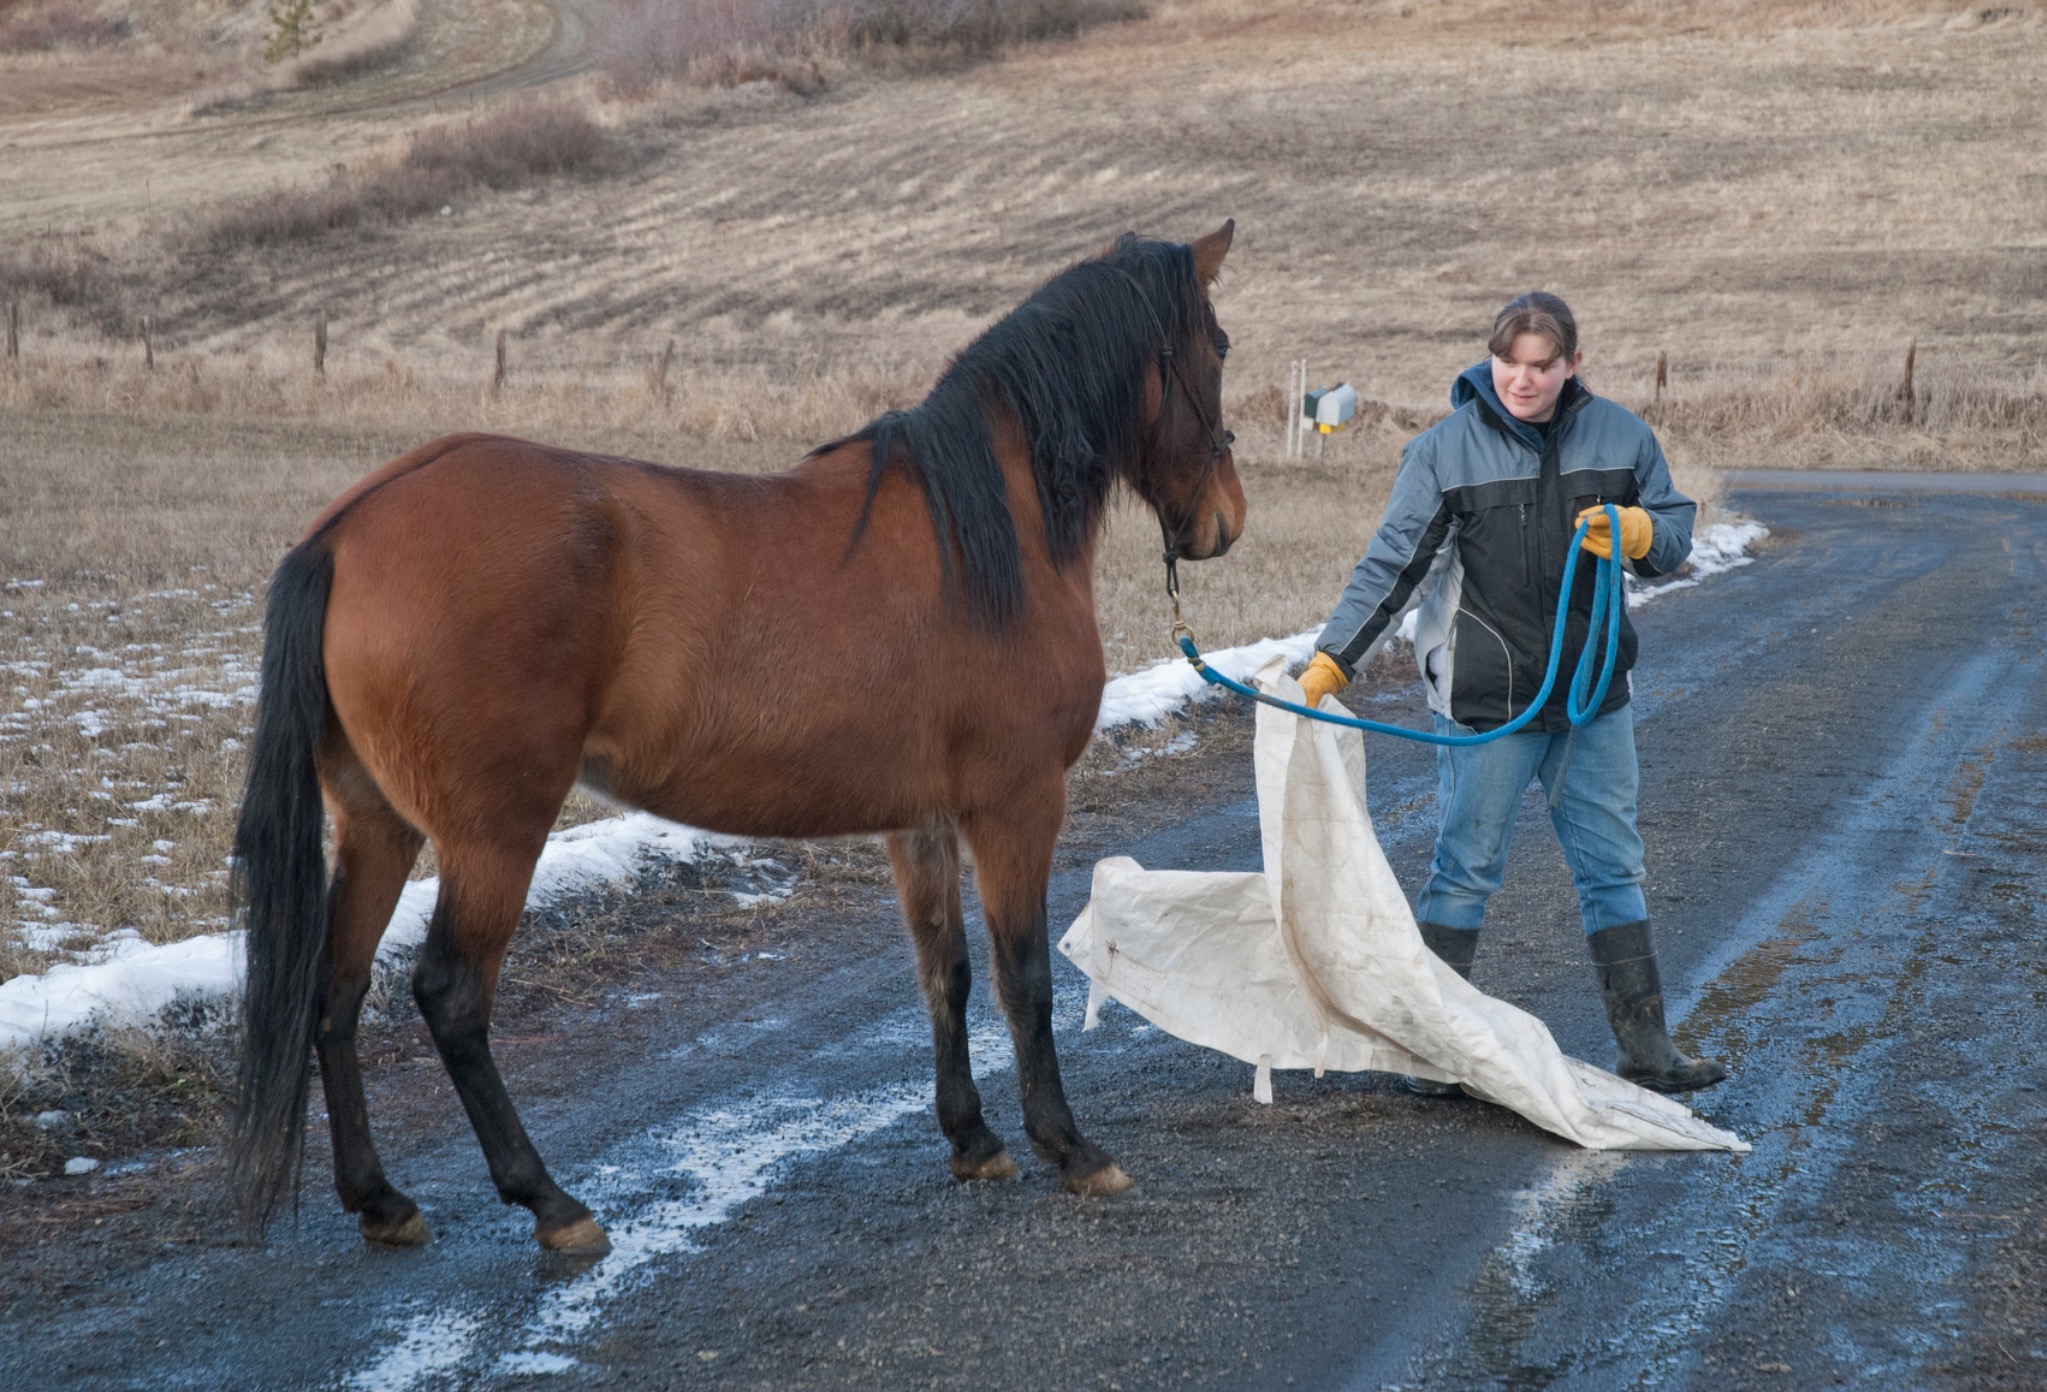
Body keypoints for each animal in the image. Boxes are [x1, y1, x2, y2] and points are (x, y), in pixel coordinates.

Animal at [227, 223, 1243, 1256]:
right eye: (1220, 347)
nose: (1222, 521)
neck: (990, 532)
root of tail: (347, 530)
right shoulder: (1016, 805)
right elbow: (1023, 978)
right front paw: (1068, 1147)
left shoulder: (920, 821)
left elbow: (944, 973)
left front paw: (972, 1138)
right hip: (493, 835)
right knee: (451, 996)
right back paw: (550, 1202)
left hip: (377, 823)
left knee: (335, 990)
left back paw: (381, 1199)